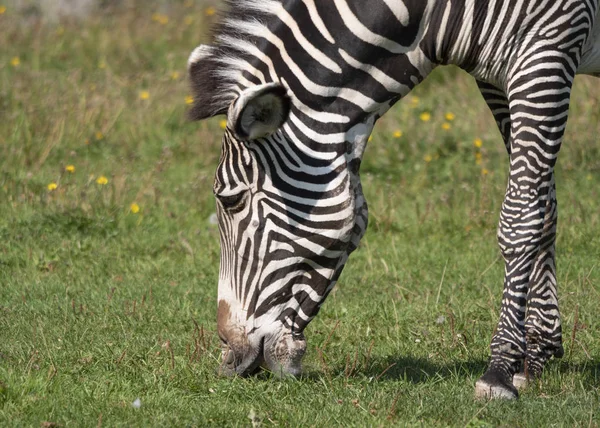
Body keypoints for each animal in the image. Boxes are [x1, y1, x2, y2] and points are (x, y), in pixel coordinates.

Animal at [188, 0, 600, 402]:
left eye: (231, 199)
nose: (229, 356)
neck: (431, 14)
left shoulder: (548, 51)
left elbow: (520, 215)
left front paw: (499, 369)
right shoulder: (497, 76)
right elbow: (543, 204)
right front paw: (535, 353)